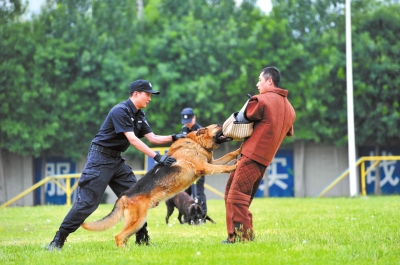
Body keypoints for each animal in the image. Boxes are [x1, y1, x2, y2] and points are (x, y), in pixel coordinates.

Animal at [79, 123, 239, 245]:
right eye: (218, 126)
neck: (196, 143)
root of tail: (124, 196)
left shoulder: (211, 163)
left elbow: (228, 155)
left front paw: (238, 151)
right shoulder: (205, 167)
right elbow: (223, 167)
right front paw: (234, 166)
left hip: (137, 222)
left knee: (124, 237)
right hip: (137, 221)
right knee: (119, 236)